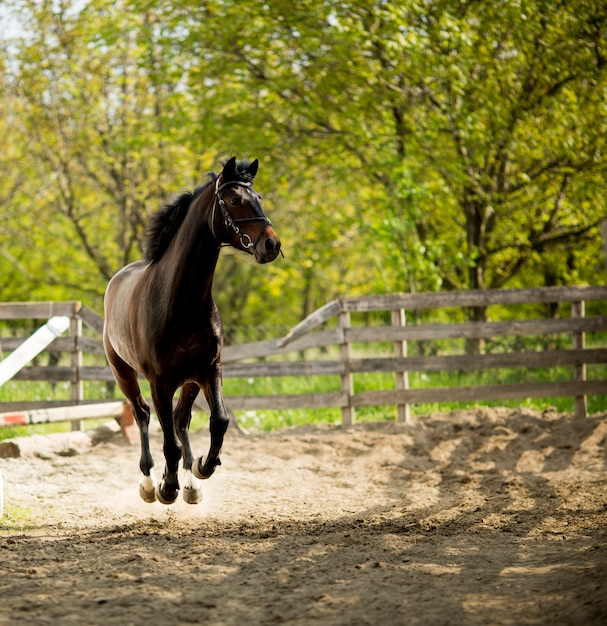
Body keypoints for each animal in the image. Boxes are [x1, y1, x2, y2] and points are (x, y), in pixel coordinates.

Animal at [102, 156, 282, 502]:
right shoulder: (159, 382)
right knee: (142, 414)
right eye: (234, 200)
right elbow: (168, 441)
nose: (271, 244)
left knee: (180, 419)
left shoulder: (209, 369)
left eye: (259, 197)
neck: (180, 302)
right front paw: (167, 486)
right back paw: (150, 483)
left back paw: (191, 483)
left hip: (189, 380)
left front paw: (201, 467)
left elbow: (219, 421)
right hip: (124, 374)